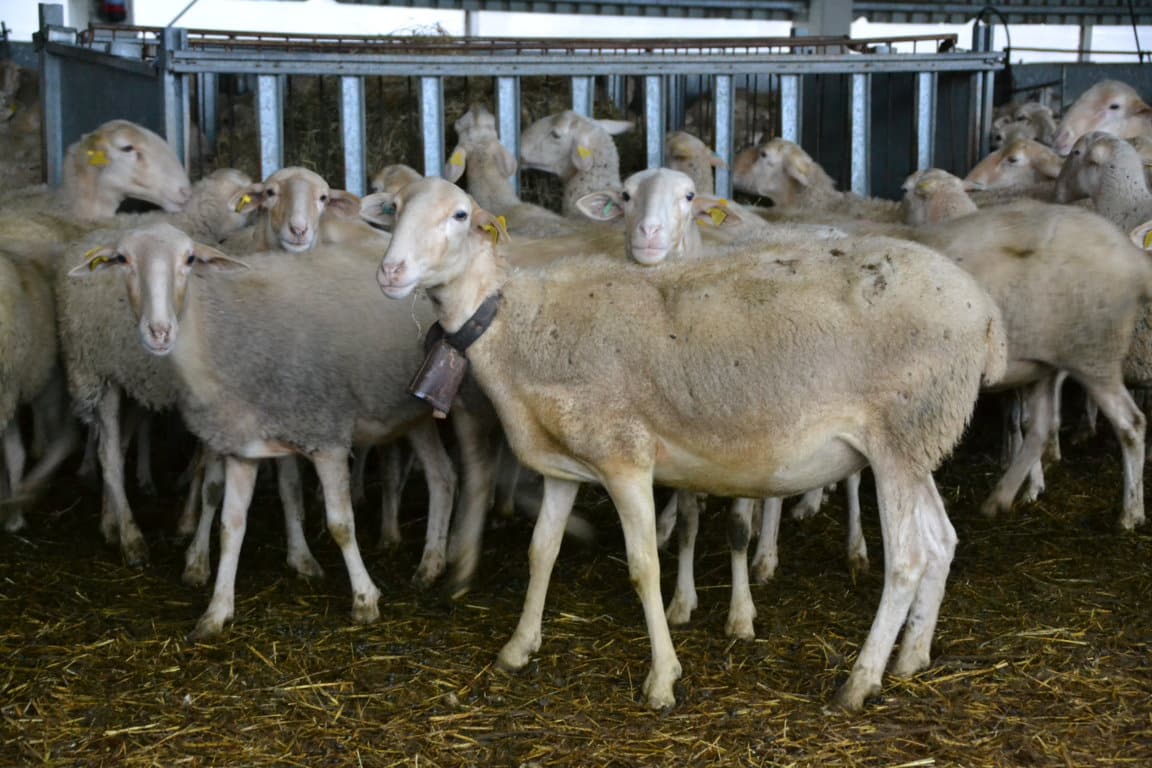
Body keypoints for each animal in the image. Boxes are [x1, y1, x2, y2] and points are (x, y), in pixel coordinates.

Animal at [69, 223, 456, 644]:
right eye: (123, 260)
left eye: (190, 259)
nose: (159, 332)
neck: (217, 339)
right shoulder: (244, 448)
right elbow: (230, 527)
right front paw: (216, 611)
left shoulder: (326, 435)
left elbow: (341, 525)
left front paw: (365, 599)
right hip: (415, 414)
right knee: (442, 477)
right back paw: (430, 566)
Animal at [380, 176, 1009, 713]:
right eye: (393, 210)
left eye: (461, 215)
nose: (390, 271)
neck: (513, 323)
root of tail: (986, 314)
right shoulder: (564, 466)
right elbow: (542, 553)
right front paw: (517, 648)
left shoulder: (625, 459)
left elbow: (644, 568)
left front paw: (662, 680)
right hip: (921, 439)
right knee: (941, 540)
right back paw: (911, 657)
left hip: (900, 434)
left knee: (907, 557)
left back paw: (859, 681)